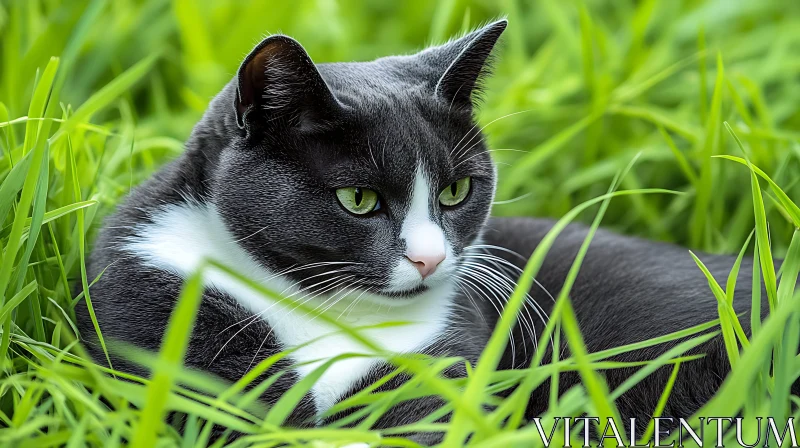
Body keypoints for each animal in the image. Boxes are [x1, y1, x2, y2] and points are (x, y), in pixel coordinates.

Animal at [73, 21, 792, 444]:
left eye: (455, 192)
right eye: (358, 199)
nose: (429, 258)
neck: (324, 311)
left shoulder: (449, 348)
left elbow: (425, 417)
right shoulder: (151, 292)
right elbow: (236, 412)